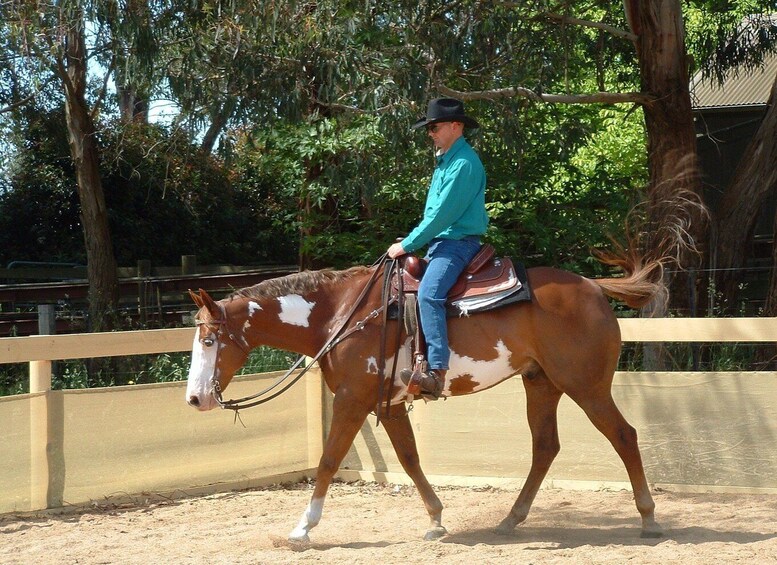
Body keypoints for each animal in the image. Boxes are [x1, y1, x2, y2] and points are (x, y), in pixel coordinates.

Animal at [185, 249, 664, 540]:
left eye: (209, 341)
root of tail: (594, 287)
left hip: (586, 386)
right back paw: (511, 519)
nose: (194, 400)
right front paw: (435, 518)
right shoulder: (390, 404)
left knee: (624, 436)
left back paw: (649, 518)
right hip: (541, 383)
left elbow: (328, 460)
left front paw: (304, 527)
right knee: (545, 446)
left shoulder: (352, 400)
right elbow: (410, 458)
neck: (341, 315)